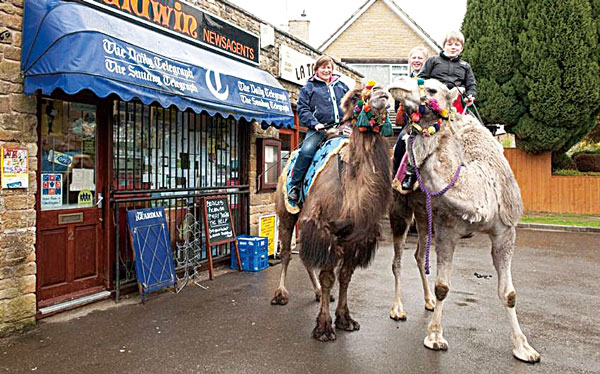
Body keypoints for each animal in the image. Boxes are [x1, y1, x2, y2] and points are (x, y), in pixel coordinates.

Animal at [272, 84, 394, 342]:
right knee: (287, 252)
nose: (382, 93)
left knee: (305, 258)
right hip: (287, 213)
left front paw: (345, 319)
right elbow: (329, 277)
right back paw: (280, 294)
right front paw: (324, 327)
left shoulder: (355, 236)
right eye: (357, 97)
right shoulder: (325, 227)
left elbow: (346, 275)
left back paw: (319, 294)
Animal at [386, 77, 540, 364]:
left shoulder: (505, 231)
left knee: (419, 254)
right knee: (397, 259)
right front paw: (435, 337)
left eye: (432, 89)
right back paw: (398, 309)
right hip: (400, 208)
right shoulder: (447, 229)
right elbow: (443, 286)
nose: (397, 83)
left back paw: (427, 301)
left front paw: (524, 348)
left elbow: (509, 294)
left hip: (424, 216)